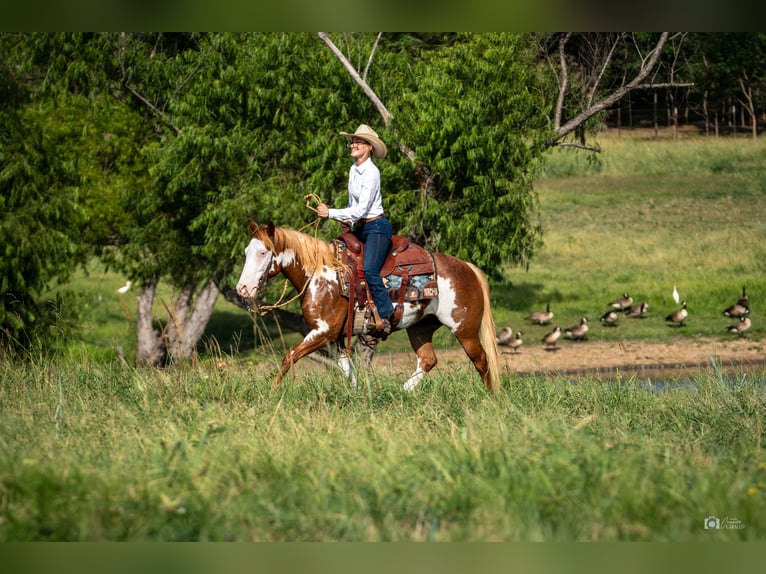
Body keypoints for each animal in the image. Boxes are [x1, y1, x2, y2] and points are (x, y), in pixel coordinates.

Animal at [240, 223, 504, 394]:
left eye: (262, 252)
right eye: (246, 252)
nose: (242, 288)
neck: (320, 275)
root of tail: (468, 268)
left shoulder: (322, 333)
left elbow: (289, 357)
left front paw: (273, 392)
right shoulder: (334, 339)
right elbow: (347, 371)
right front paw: (358, 396)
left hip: (465, 330)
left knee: (482, 361)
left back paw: (491, 398)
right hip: (420, 327)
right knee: (428, 360)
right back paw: (404, 391)